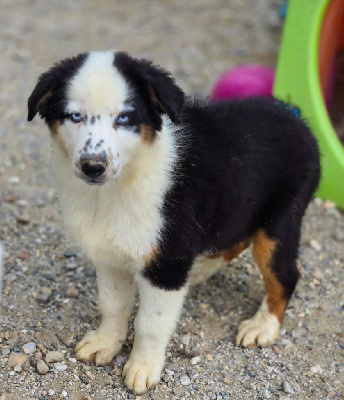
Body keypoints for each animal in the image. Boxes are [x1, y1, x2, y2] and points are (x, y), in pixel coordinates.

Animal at [28, 50, 322, 394]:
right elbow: (112, 305)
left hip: (279, 223)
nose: (93, 166)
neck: (118, 186)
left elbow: (150, 323)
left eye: (124, 118)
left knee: (285, 276)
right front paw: (105, 343)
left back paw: (262, 326)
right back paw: (202, 269)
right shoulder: (111, 255)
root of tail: (296, 118)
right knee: (234, 239)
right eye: (74, 116)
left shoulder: (166, 263)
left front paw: (143, 367)